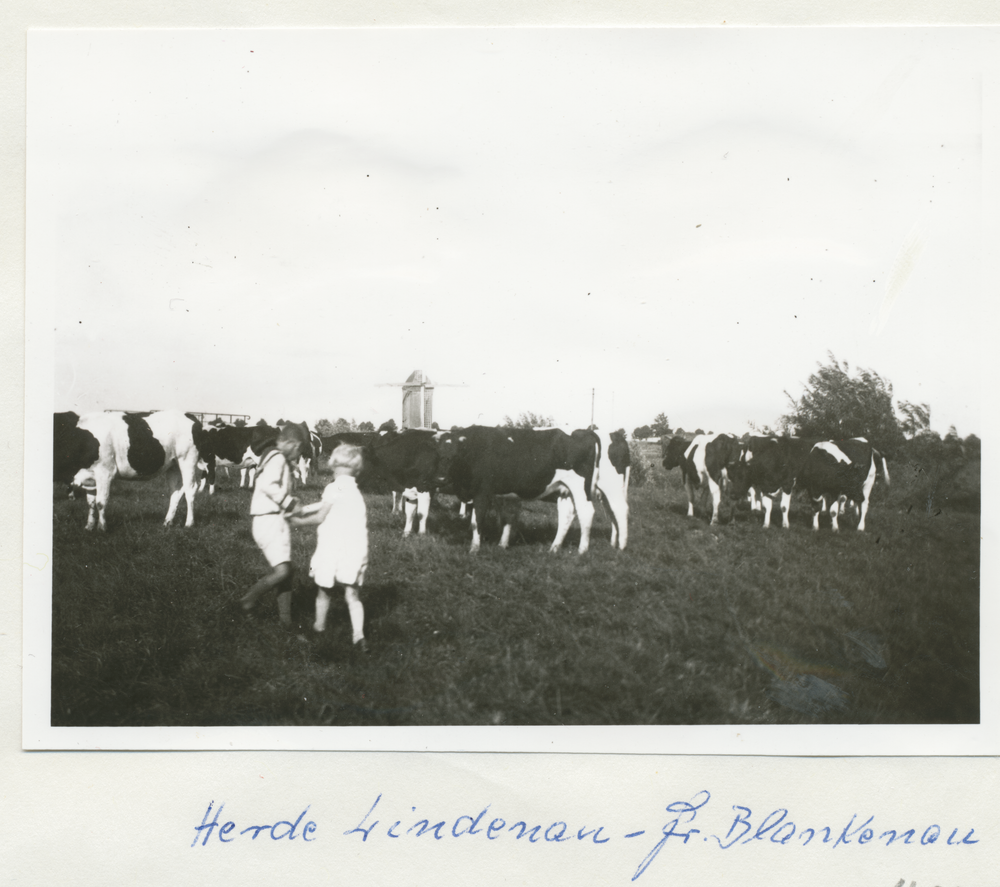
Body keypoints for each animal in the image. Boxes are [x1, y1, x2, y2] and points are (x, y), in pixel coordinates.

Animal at [53, 412, 207, 532]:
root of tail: (189, 415)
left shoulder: (105, 472)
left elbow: (101, 501)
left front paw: (102, 528)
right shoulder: (89, 476)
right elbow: (91, 502)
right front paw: (89, 526)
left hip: (187, 460)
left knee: (190, 489)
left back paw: (189, 523)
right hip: (173, 465)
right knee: (176, 491)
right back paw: (167, 522)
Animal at [434, 424, 596, 556]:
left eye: (456, 456)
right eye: (438, 454)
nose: (441, 478)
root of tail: (587, 431)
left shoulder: (482, 493)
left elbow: (477, 521)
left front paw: (474, 549)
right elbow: (505, 519)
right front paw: (500, 545)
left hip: (580, 486)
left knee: (586, 513)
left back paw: (582, 550)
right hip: (565, 489)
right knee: (566, 515)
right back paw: (554, 548)